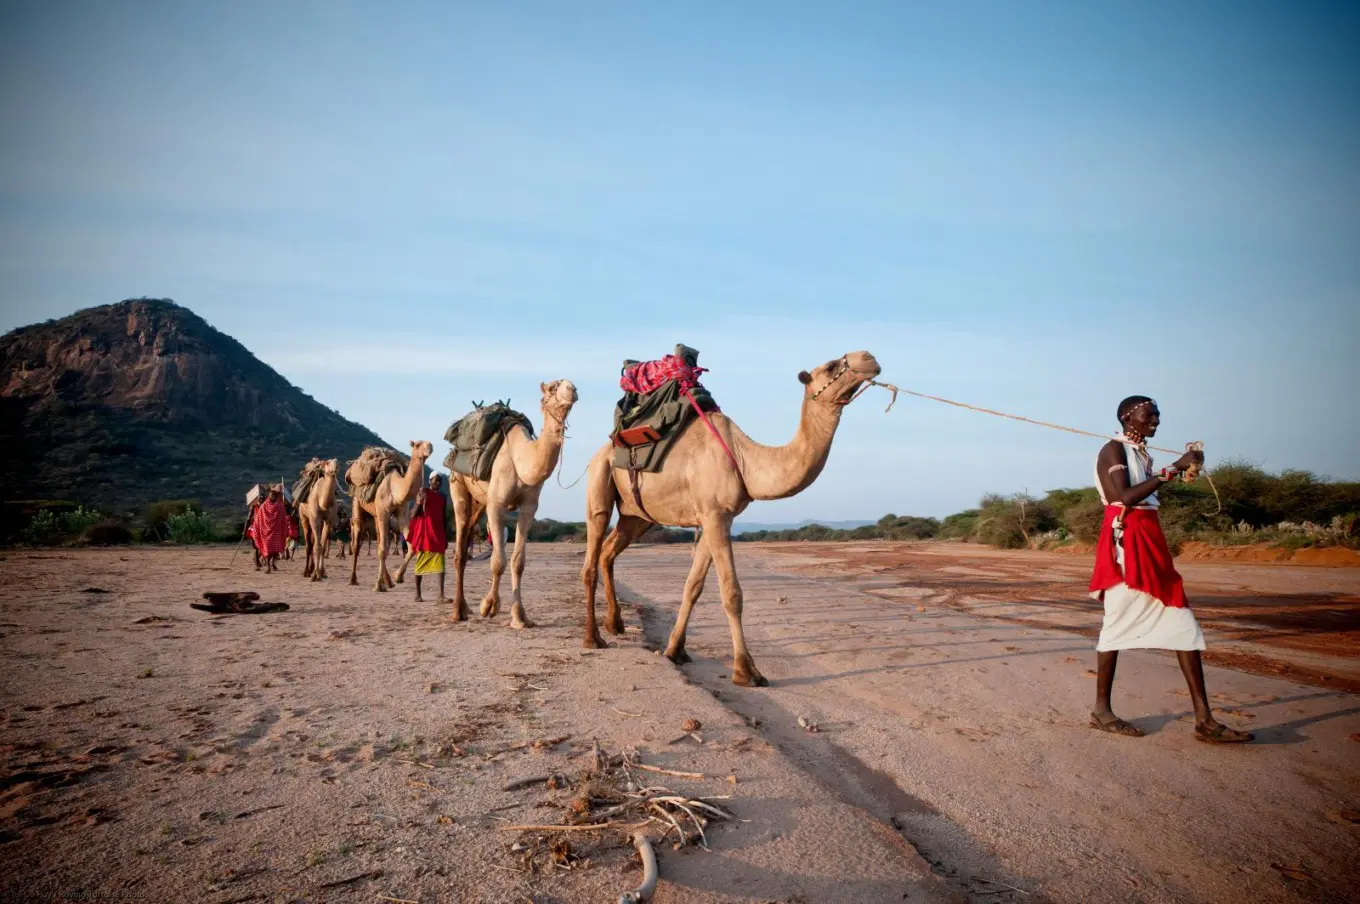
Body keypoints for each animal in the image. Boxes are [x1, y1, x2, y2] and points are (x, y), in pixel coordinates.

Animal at [347, 441, 432, 592]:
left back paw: (388, 582)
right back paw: (353, 579)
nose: (430, 448)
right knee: (357, 543)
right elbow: (382, 550)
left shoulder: (402, 514)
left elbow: (411, 546)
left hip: (376, 515)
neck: (394, 489)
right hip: (357, 504)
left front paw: (397, 576)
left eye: (429, 443)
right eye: (417, 444)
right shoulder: (383, 512)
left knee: (379, 541)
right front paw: (377, 585)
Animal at [443, 380, 578, 626]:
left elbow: (518, 562)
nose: (571, 388)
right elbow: (498, 561)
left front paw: (519, 616)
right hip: (457, 485)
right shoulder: (496, 505)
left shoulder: (529, 508)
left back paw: (465, 608)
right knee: (459, 547)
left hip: (479, 502)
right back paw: (458, 611)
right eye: (552, 388)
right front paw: (488, 606)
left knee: (466, 542)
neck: (522, 459)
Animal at [580, 351, 882, 686]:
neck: (745, 459)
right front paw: (746, 670)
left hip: (637, 516)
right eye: (830, 366)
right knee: (592, 553)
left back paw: (615, 624)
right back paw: (593, 638)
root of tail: (604, 448)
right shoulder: (715, 514)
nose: (868, 358)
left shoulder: (715, 517)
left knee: (609, 552)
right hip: (600, 479)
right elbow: (731, 592)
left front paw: (675, 650)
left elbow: (693, 585)